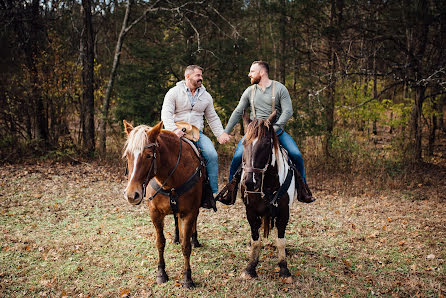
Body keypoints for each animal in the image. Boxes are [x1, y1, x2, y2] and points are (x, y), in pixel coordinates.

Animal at [123, 120, 204, 288]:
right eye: (127, 155)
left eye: (148, 155)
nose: (131, 195)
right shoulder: (155, 214)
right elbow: (160, 243)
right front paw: (161, 273)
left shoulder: (189, 212)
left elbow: (186, 246)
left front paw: (187, 278)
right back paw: (176, 237)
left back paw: (195, 239)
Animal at [239, 110, 298, 282]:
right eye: (243, 143)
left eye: (266, 144)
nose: (249, 182)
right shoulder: (251, 212)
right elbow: (256, 240)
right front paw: (250, 268)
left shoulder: (284, 213)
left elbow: (281, 241)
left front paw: (284, 270)